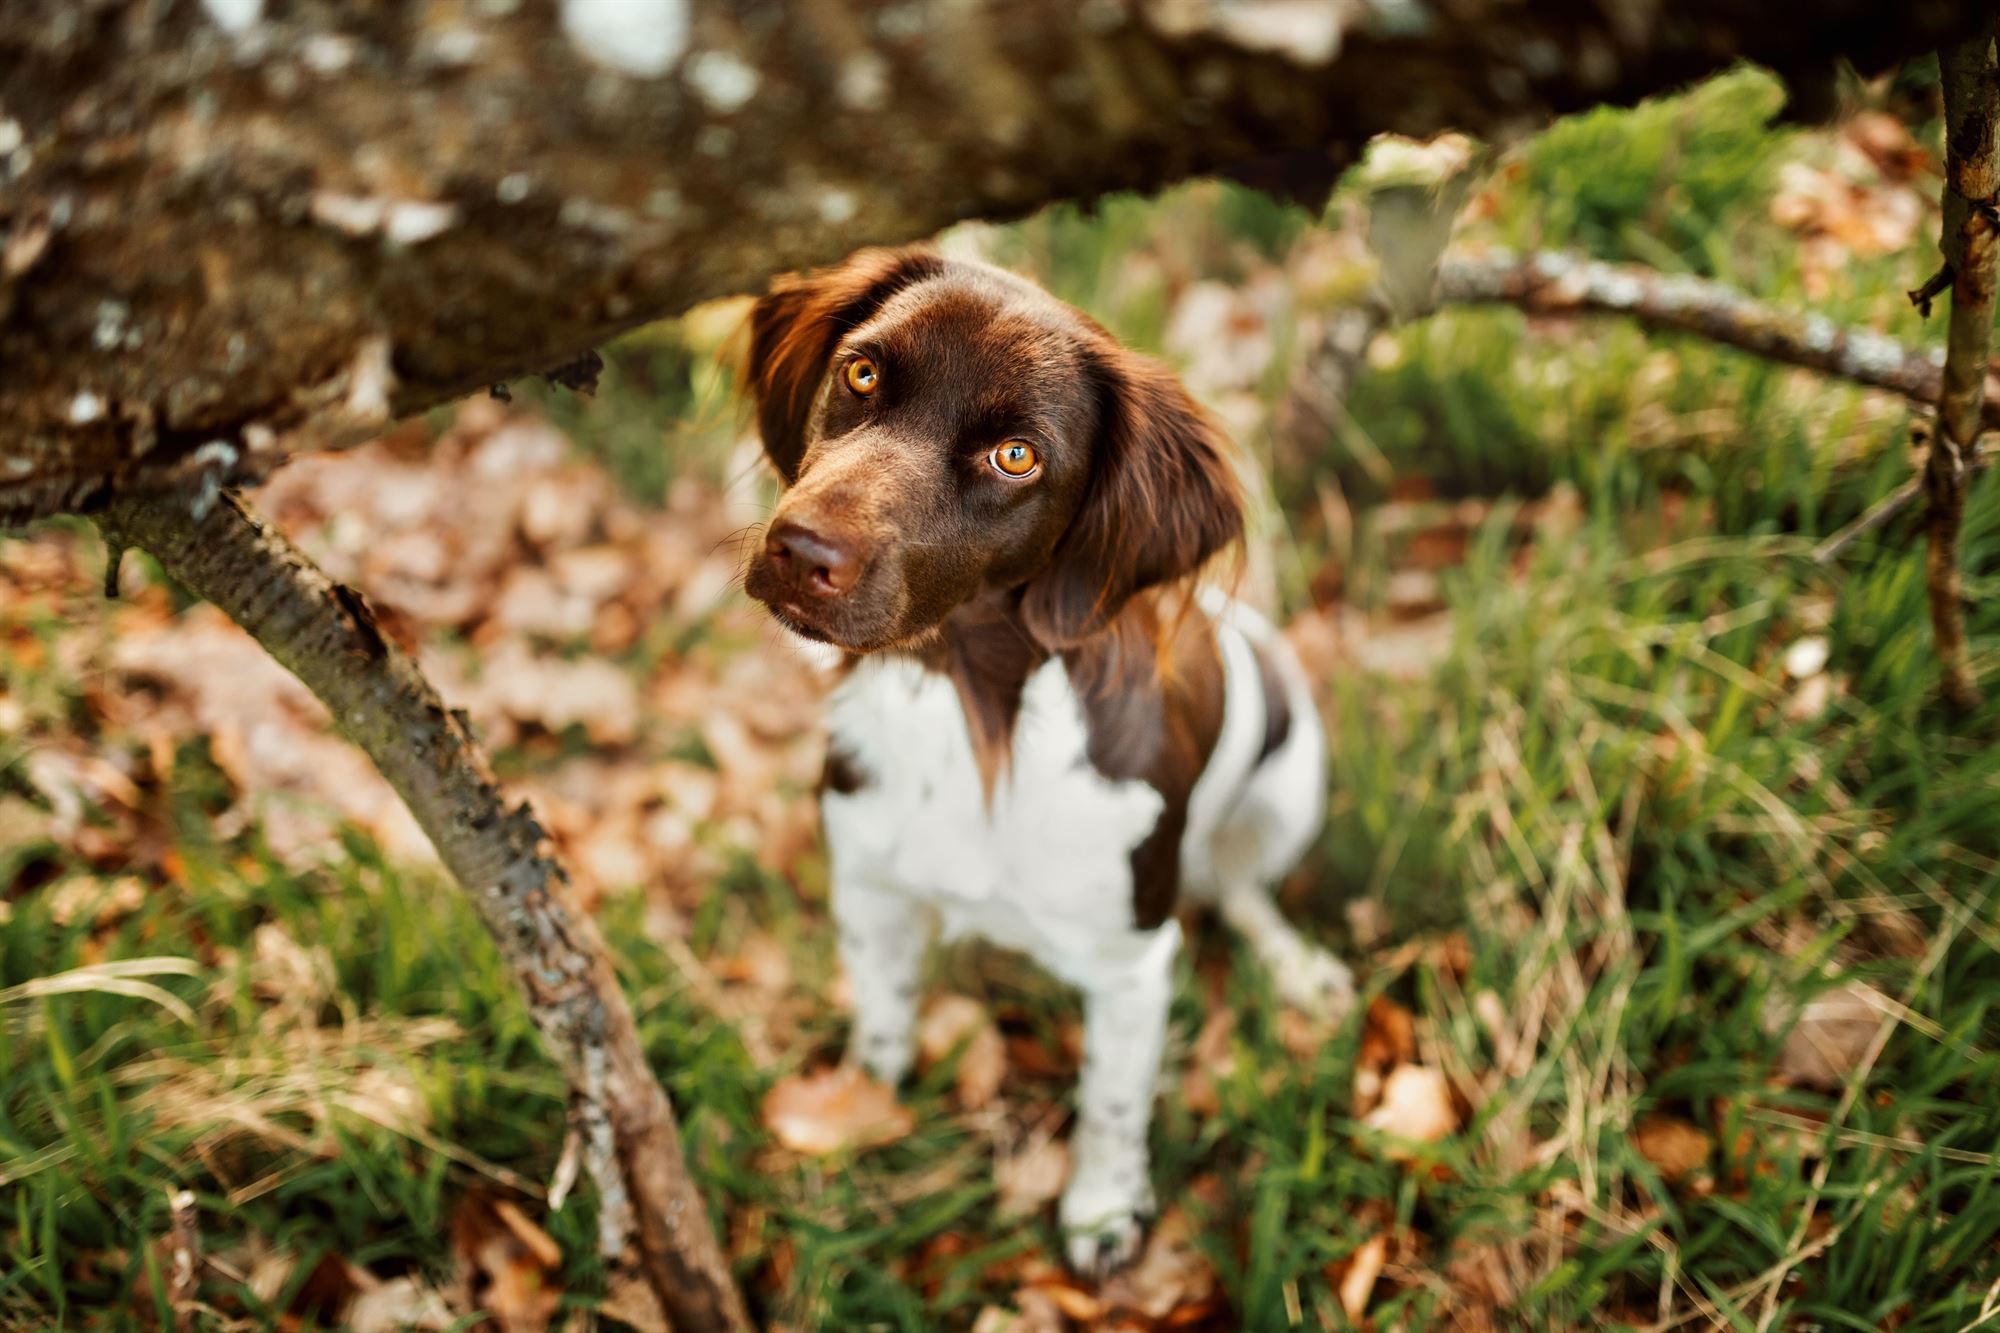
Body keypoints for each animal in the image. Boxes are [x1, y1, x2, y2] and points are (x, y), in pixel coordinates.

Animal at [744, 246, 1352, 1264]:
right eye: (861, 373)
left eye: (1016, 456)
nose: (800, 550)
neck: (969, 718)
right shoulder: (870, 889)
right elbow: (883, 1019)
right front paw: (858, 1115)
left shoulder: (1134, 962)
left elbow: (1110, 1098)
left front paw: (1102, 1212)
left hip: (1292, 784)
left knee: (1243, 890)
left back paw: (1301, 969)